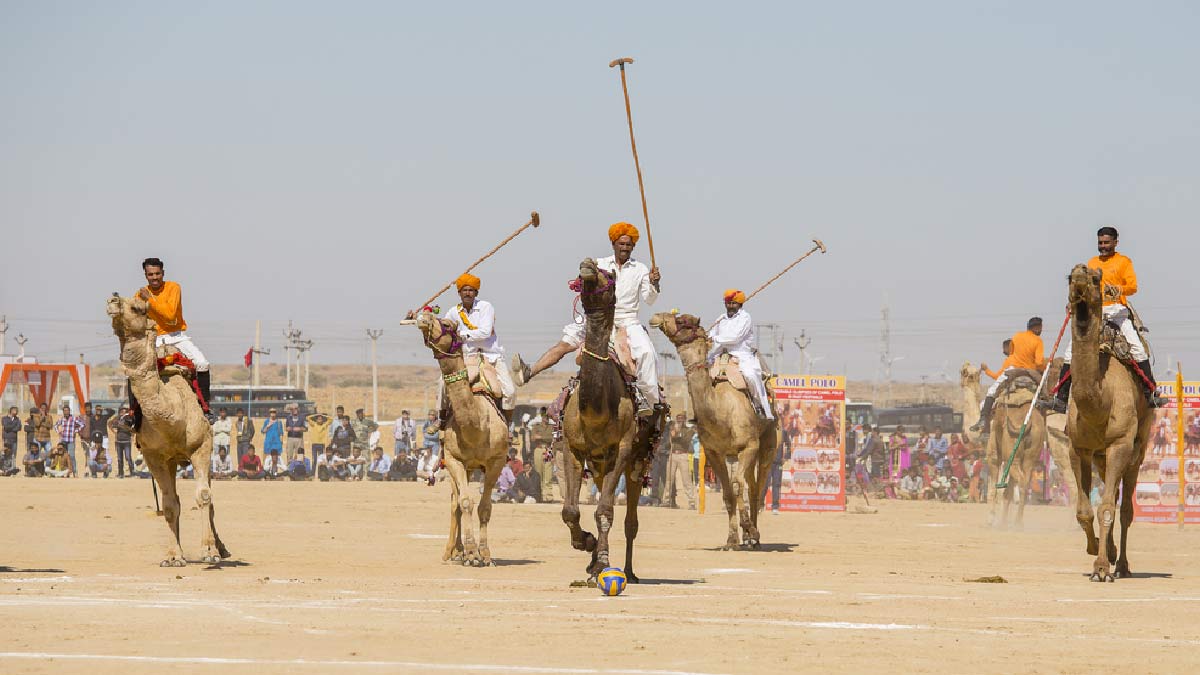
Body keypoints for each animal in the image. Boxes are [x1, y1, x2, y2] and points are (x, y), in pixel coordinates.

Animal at [108, 293, 231, 562]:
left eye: (139, 308)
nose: (112, 300)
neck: (173, 417)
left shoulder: (201, 447)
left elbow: (204, 497)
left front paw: (209, 551)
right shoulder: (153, 456)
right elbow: (169, 504)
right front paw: (174, 556)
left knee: (210, 499)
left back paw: (222, 548)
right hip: (173, 461)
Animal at [415, 312, 508, 564]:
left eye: (447, 324)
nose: (424, 316)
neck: (477, 427)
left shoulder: (496, 461)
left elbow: (485, 507)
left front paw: (484, 554)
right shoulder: (454, 459)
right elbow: (465, 502)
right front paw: (471, 552)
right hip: (455, 464)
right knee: (454, 502)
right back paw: (452, 551)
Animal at [556, 255, 662, 578]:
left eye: (610, 276)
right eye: (584, 273)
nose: (587, 264)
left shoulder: (622, 449)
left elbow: (605, 511)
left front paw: (602, 560)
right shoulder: (573, 447)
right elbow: (571, 510)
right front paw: (587, 544)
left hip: (639, 459)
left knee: (630, 521)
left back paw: (627, 571)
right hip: (599, 463)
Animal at [648, 309, 777, 547]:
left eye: (683, 321)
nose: (656, 316)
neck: (720, 408)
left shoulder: (749, 446)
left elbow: (737, 485)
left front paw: (749, 529)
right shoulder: (713, 452)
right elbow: (728, 492)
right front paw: (732, 539)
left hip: (768, 443)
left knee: (758, 485)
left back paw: (755, 536)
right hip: (738, 454)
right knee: (750, 485)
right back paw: (748, 537)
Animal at [1065, 263, 1156, 578]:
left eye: (1097, 279)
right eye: (1069, 277)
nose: (1081, 274)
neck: (1100, 403)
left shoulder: (1120, 444)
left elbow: (1106, 508)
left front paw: (1102, 567)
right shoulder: (1078, 448)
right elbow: (1084, 510)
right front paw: (1096, 550)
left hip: (1137, 450)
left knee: (1125, 508)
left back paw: (1124, 565)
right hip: (1102, 459)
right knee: (1112, 495)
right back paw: (1115, 553)